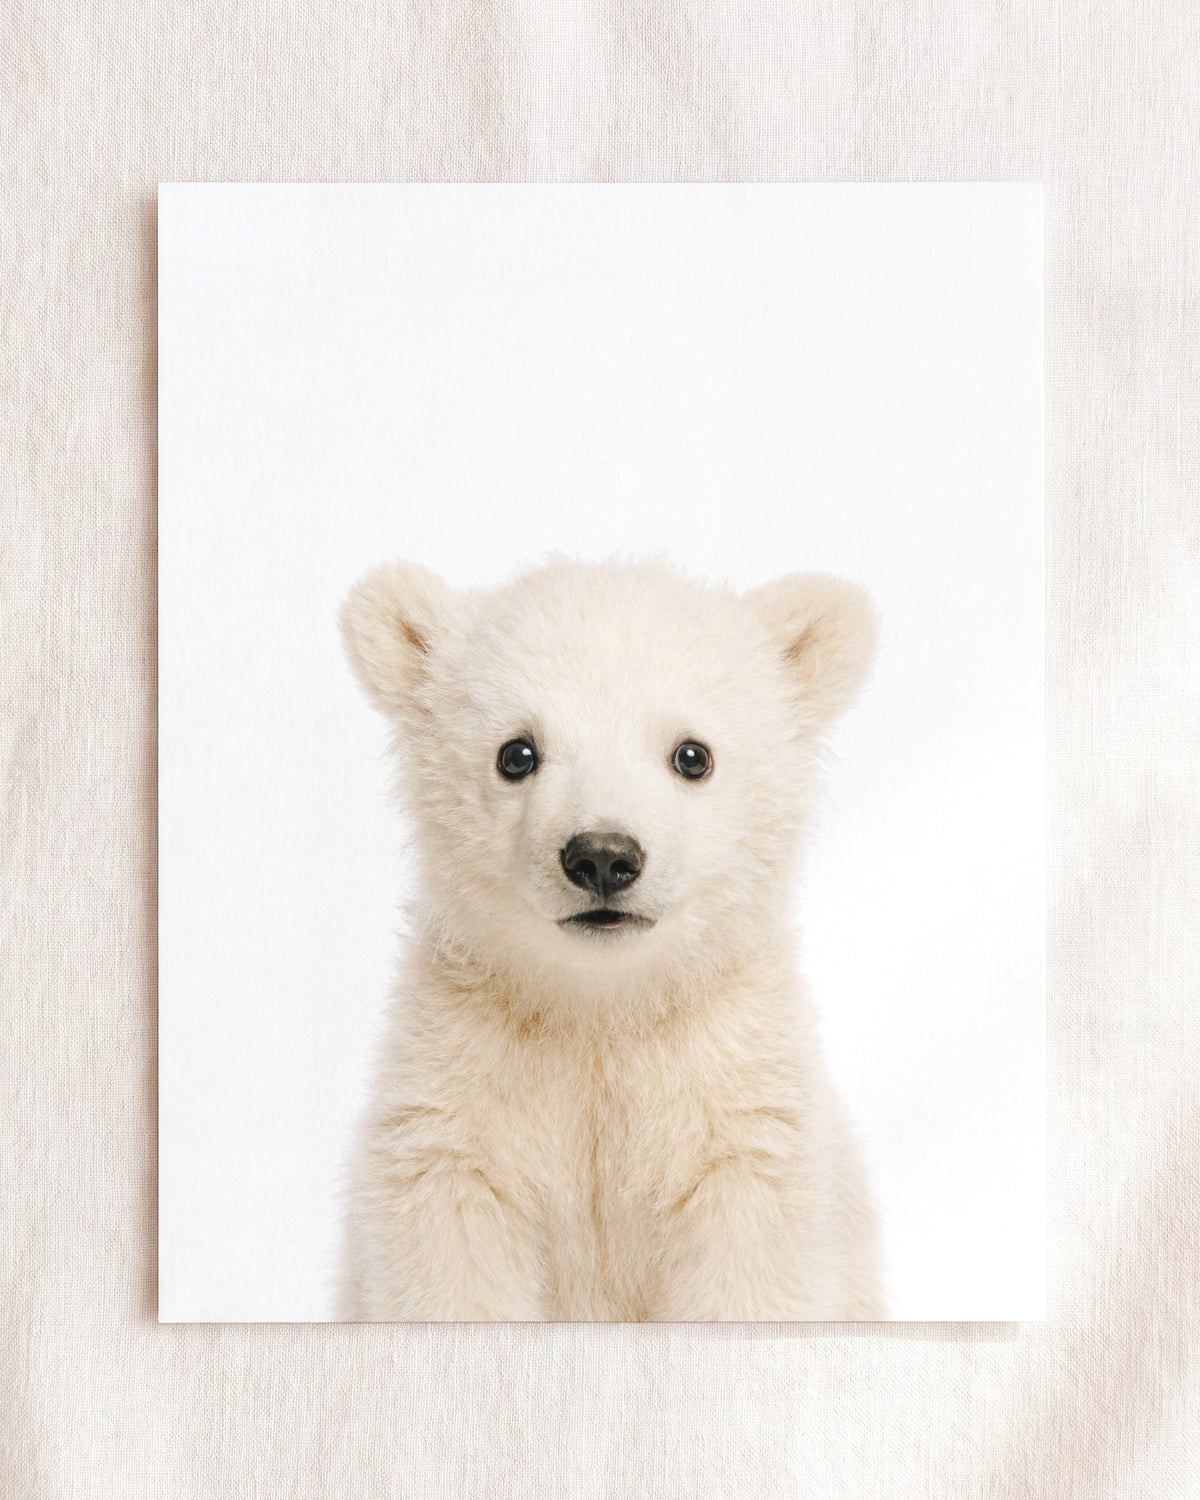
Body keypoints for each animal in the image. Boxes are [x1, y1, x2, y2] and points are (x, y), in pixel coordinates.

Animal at [337, 556, 884, 1320]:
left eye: (692, 755)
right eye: (516, 753)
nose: (602, 856)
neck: (602, 1009)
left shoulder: (738, 1110)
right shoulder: (457, 1102)